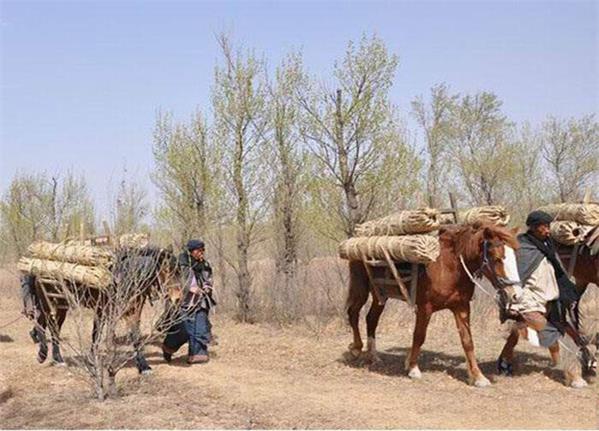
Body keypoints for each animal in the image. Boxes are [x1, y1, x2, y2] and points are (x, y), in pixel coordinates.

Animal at [346, 224, 520, 386]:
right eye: (497, 258)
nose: (515, 295)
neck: (448, 267)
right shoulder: (425, 308)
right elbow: (419, 336)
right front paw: (413, 368)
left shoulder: (461, 307)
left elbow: (468, 342)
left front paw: (478, 377)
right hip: (360, 288)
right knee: (353, 313)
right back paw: (356, 349)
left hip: (380, 295)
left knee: (371, 319)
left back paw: (373, 355)